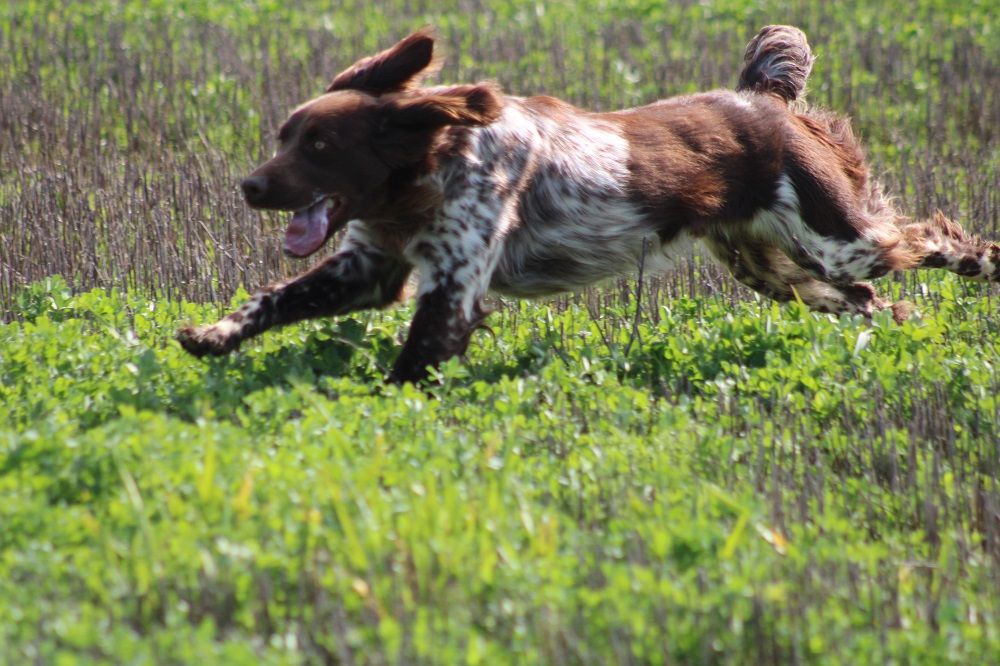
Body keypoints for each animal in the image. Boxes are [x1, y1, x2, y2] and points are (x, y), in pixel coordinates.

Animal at [178, 26, 1000, 382]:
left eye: (319, 145)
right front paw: (212, 335)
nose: (249, 186)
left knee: (929, 238)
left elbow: (407, 369)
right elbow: (271, 299)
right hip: (766, 265)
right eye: (284, 137)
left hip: (838, 236)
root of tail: (761, 100)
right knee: (868, 299)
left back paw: (982, 266)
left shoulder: (453, 287)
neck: (433, 166)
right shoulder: (369, 269)